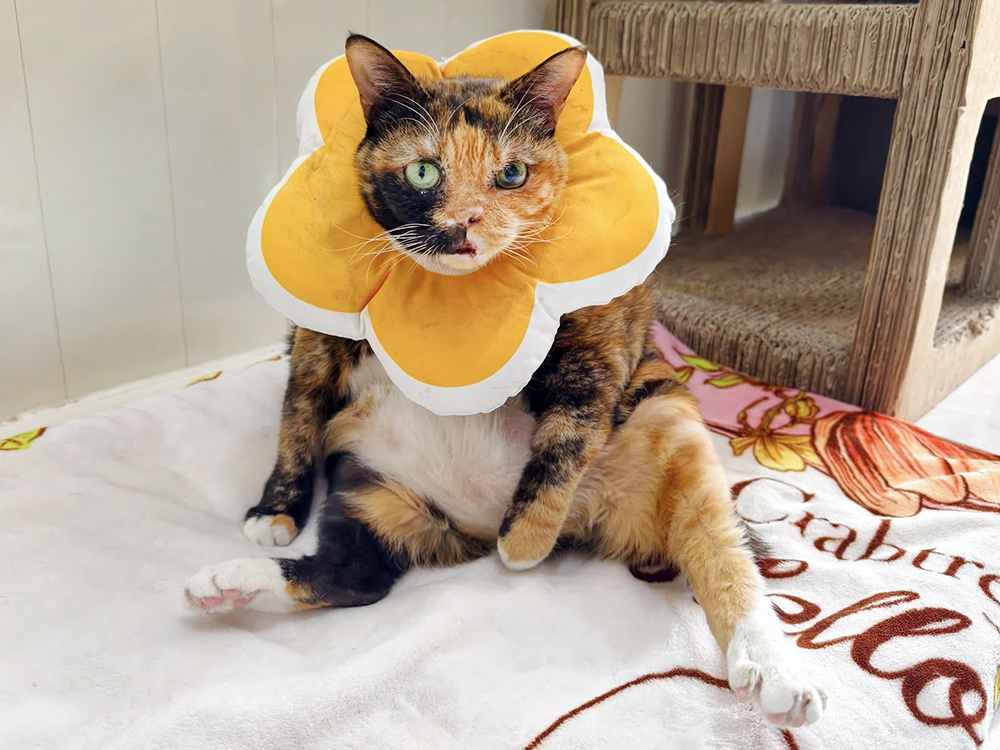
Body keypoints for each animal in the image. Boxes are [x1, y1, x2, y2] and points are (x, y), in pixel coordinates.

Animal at [185, 35, 826, 728]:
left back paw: (778, 673)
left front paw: (523, 542)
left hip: (667, 417)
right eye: (423, 172)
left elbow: (571, 428)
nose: (467, 221)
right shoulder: (315, 337)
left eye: (512, 174)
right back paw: (227, 585)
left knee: (723, 549)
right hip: (373, 490)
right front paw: (274, 512)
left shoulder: (602, 334)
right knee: (354, 575)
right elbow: (297, 418)